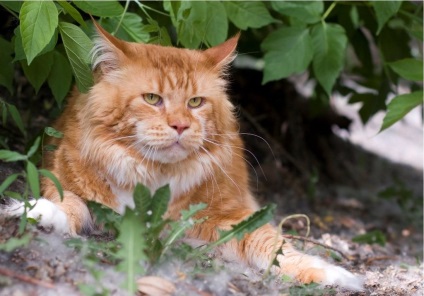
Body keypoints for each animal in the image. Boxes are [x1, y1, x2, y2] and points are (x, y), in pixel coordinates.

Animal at [4, 22, 362, 290]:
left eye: (195, 102)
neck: (153, 180)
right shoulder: (68, 184)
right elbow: (69, 205)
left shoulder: (229, 215)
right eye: (152, 99)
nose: (180, 125)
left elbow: (272, 243)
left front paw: (331, 273)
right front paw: (38, 212)